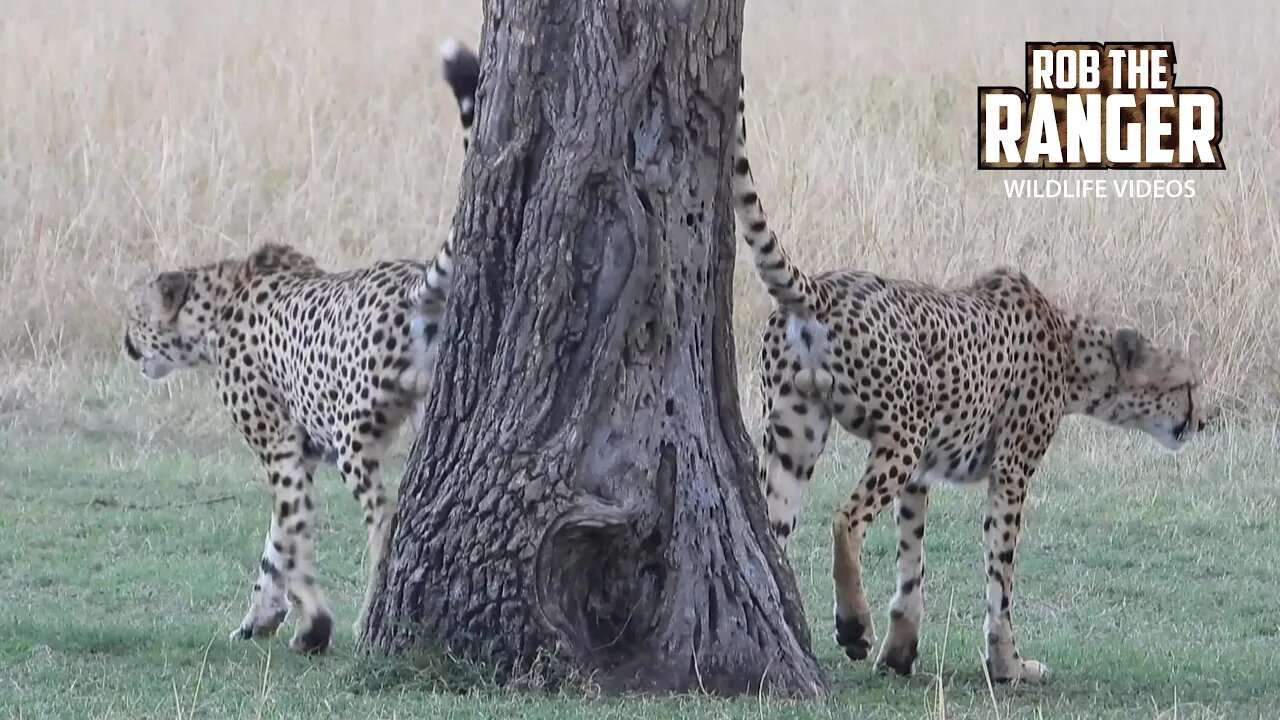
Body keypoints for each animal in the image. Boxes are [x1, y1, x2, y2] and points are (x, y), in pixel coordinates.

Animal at [123, 44, 481, 650]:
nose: (125, 345)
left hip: (355, 436)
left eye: (134, 315)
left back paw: (370, 616)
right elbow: (277, 546)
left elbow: (292, 540)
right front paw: (263, 617)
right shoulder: (303, 449)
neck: (213, 306)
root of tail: (409, 279)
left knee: (385, 518)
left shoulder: (283, 447)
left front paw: (313, 624)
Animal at [732, 87, 1208, 681]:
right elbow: (1000, 575)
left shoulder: (922, 473)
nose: (1203, 421)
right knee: (844, 520)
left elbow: (912, 562)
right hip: (900, 433)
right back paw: (852, 626)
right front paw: (1008, 664)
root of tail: (824, 286)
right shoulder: (1009, 469)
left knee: (773, 533)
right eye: (1188, 385)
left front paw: (901, 651)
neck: (1070, 349)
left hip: (799, 435)